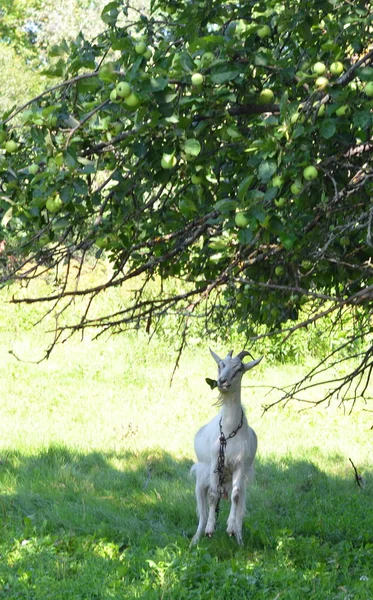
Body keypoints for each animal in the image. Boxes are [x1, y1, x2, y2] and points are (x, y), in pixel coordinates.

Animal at [190, 350, 260, 548]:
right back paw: (195, 540)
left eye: (239, 369)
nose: (222, 382)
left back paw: (239, 538)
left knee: (239, 508)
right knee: (203, 511)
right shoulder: (216, 462)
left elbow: (235, 498)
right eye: (220, 365)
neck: (229, 430)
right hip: (200, 478)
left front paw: (231, 528)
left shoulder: (240, 466)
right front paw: (210, 529)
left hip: (241, 485)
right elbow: (213, 496)